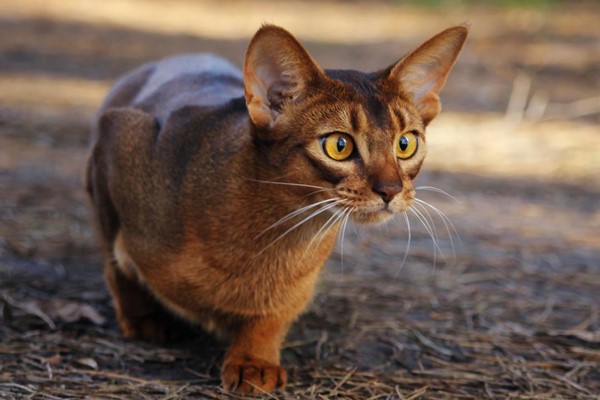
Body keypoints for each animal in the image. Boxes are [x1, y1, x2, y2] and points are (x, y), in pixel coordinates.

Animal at [85, 23, 468, 392]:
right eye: (339, 145)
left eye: (405, 144)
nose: (391, 189)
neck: (276, 232)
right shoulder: (120, 133)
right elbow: (116, 263)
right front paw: (141, 317)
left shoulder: (296, 288)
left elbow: (273, 315)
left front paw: (254, 360)